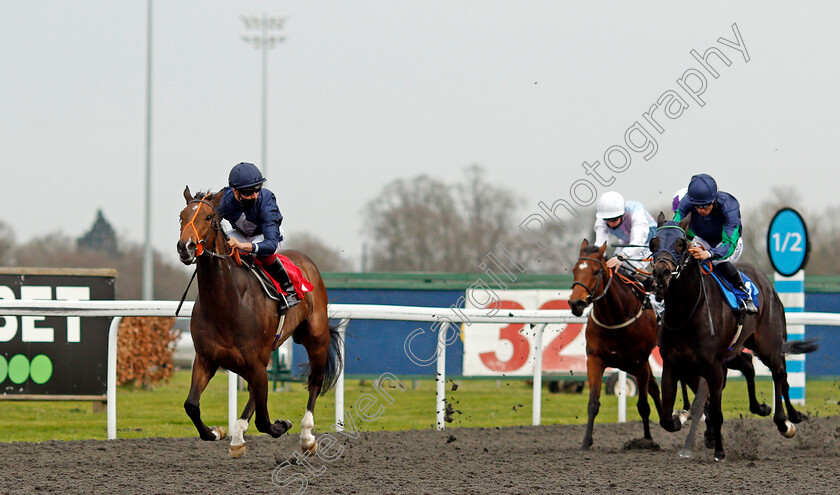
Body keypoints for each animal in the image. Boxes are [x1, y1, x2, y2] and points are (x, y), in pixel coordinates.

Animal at [175, 188, 342, 460]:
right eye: (182, 216)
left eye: (209, 217)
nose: (185, 247)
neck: (227, 303)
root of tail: (306, 262)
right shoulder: (206, 358)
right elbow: (191, 405)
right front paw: (216, 432)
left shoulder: (255, 361)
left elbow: (264, 422)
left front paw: (283, 424)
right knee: (255, 393)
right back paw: (237, 437)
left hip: (315, 338)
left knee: (314, 381)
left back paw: (307, 437)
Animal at [572, 238, 664, 452]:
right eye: (574, 270)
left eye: (596, 271)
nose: (575, 303)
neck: (616, 317)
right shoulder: (595, 360)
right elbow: (593, 403)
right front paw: (586, 442)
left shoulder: (639, 363)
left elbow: (643, 405)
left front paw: (647, 441)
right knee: (655, 388)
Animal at [648, 213, 816, 462]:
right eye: (654, 243)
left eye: (681, 244)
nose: (661, 273)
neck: (686, 313)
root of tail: (765, 281)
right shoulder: (673, 364)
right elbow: (667, 419)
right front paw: (682, 419)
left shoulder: (713, 367)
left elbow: (716, 412)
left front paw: (719, 450)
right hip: (733, 351)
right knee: (749, 364)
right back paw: (763, 409)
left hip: (768, 344)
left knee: (780, 374)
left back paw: (785, 421)